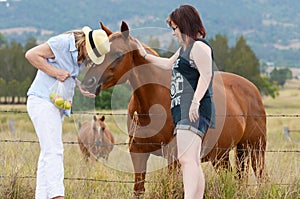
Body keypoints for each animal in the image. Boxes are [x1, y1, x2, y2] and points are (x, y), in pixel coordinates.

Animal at [80, 21, 268, 197]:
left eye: (118, 54)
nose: (87, 83)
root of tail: (251, 89)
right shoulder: (138, 153)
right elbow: (139, 189)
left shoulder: (174, 157)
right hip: (222, 155)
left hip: (255, 149)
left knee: (261, 176)